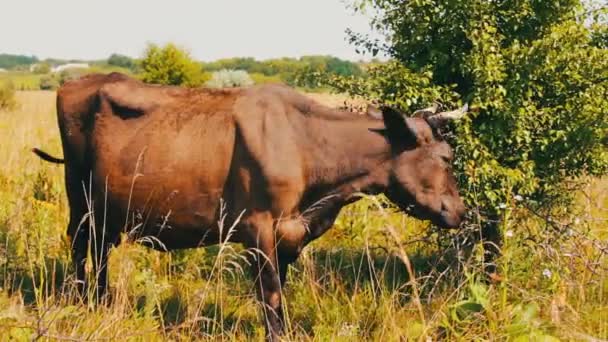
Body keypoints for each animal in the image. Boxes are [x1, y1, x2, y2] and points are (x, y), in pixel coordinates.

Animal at [33, 72, 468, 340]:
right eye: (447, 158)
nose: (462, 212)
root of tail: (77, 82)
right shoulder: (257, 227)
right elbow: (270, 295)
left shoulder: (290, 234)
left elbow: (278, 293)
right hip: (79, 194)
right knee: (80, 244)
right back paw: (82, 299)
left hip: (107, 207)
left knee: (101, 248)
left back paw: (101, 300)